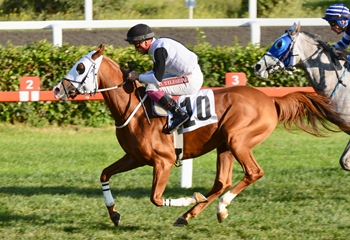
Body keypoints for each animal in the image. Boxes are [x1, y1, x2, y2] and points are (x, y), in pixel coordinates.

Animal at [52, 44, 344, 227]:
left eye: (80, 68)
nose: (56, 89)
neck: (132, 109)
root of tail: (271, 100)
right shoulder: (135, 157)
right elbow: (104, 174)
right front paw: (114, 215)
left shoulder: (163, 161)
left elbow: (155, 198)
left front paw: (190, 197)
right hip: (225, 146)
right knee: (222, 182)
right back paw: (191, 215)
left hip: (238, 141)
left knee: (252, 173)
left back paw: (215, 207)